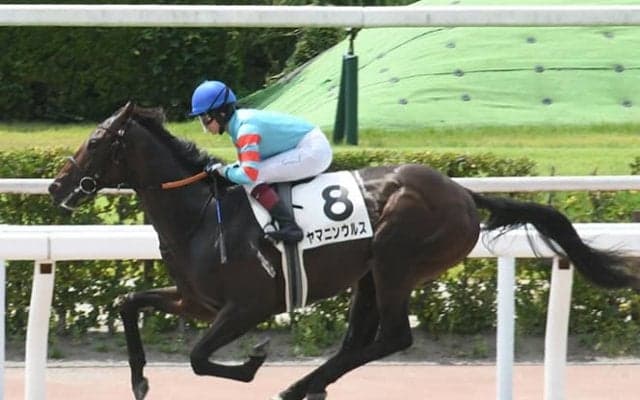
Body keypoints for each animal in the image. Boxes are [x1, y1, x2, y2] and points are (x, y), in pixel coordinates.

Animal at [48, 102, 640, 400]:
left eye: (96, 142)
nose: (56, 187)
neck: (199, 214)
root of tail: (463, 192)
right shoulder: (195, 301)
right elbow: (128, 303)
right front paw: (139, 378)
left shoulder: (247, 306)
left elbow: (197, 357)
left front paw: (254, 362)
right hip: (371, 274)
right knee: (361, 340)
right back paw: (307, 386)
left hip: (397, 259)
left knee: (393, 337)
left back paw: (297, 386)